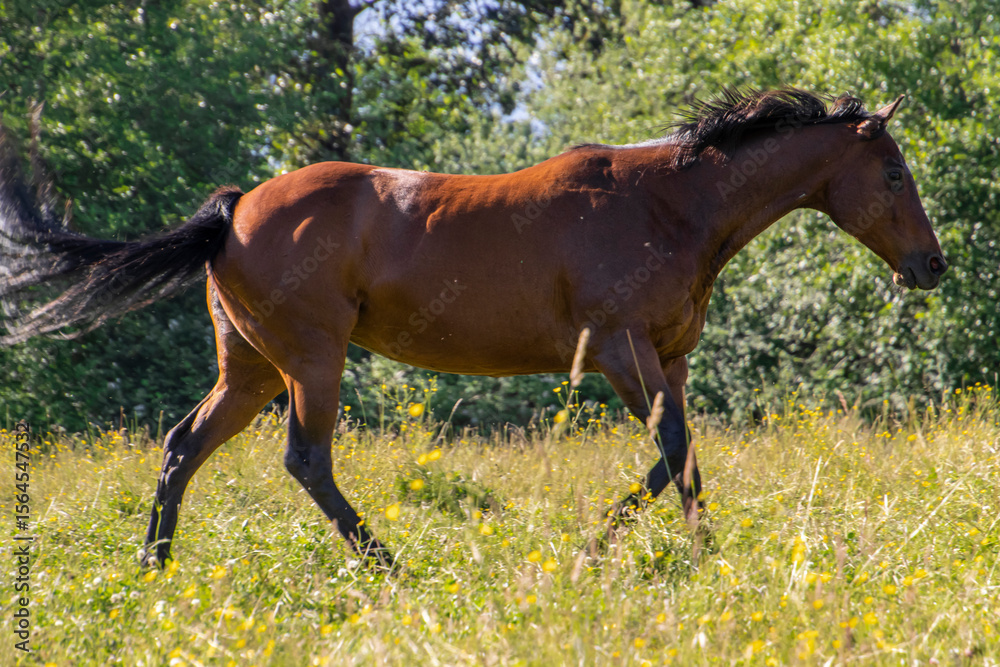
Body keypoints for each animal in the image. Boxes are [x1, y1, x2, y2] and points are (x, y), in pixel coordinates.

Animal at [0, 89, 947, 569]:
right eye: (894, 174)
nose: (932, 265)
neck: (670, 203)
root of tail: (232, 211)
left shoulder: (670, 358)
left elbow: (683, 457)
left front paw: (702, 556)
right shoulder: (619, 350)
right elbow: (672, 449)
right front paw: (596, 550)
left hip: (252, 370)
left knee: (182, 446)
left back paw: (154, 571)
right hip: (312, 359)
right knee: (305, 459)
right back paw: (388, 566)